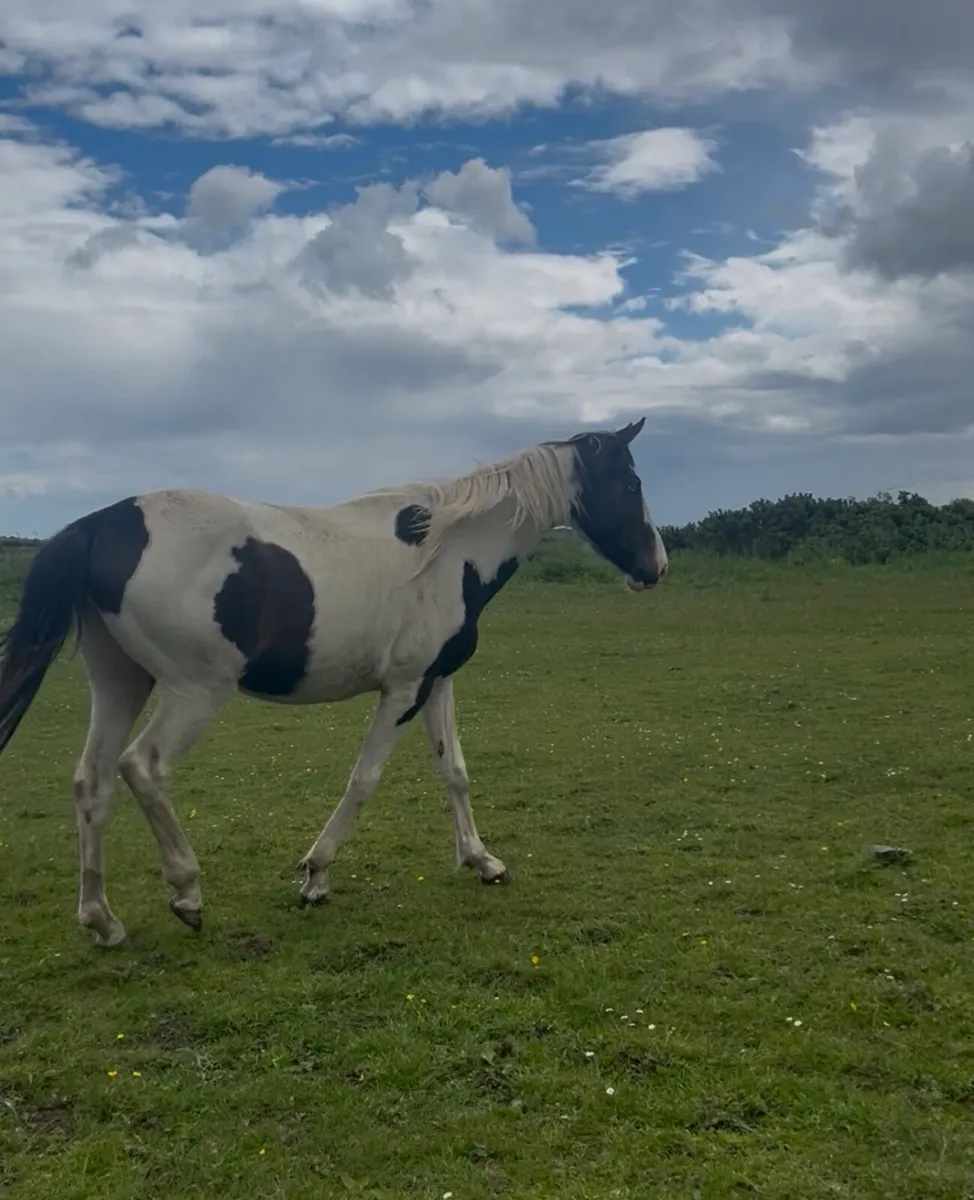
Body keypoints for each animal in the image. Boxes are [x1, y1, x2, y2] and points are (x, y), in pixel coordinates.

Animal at [0, 419, 668, 947]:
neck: (449, 552)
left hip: (120, 683)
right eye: (632, 483)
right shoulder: (402, 691)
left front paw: (483, 861)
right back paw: (187, 895)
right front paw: (316, 876)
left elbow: (454, 772)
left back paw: (101, 920)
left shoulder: (436, 682)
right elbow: (364, 780)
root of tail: (100, 525)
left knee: (91, 783)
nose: (655, 567)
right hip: (194, 692)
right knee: (142, 767)